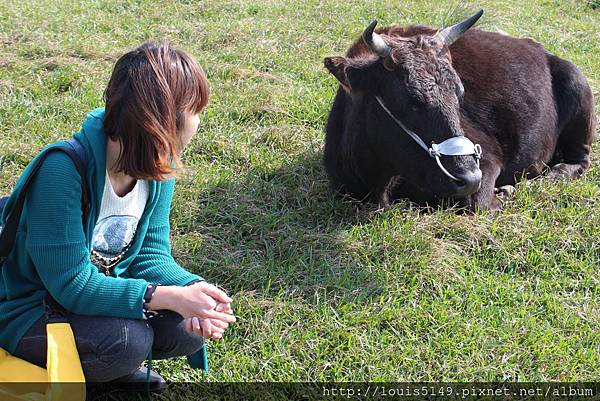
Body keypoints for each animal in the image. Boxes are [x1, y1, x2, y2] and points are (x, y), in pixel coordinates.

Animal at [326, 9, 596, 209]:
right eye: (410, 99)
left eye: (460, 93)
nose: (469, 178)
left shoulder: (487, 161)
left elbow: (479, 203)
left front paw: (506, 191)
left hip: (578, 87)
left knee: (579, 160)